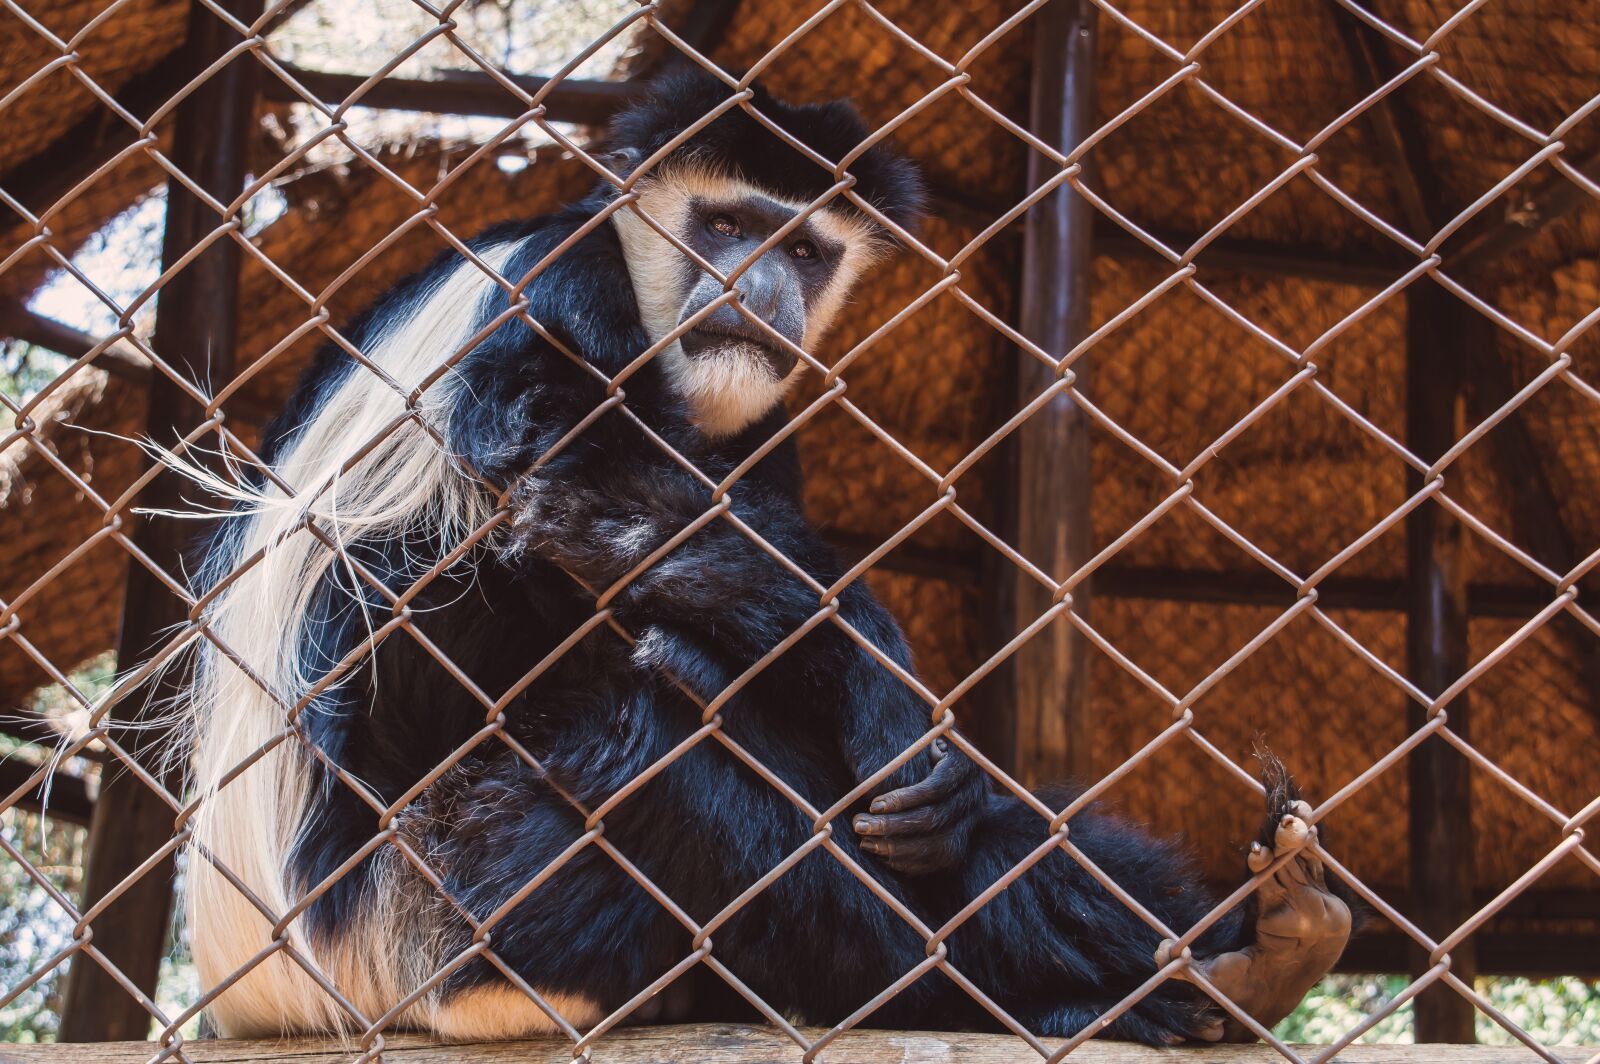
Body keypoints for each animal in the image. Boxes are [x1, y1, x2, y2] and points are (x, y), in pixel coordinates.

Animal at [174, 68, 1353, 1046]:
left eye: (802, 250)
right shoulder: (560, 293)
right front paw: (879, 677)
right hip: (439, 907)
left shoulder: (767, 417)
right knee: (634, 736)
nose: (756, 290)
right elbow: (564, 493)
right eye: (728, 225)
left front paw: (934, 762)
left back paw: (1267, 935)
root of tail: (265, 981)